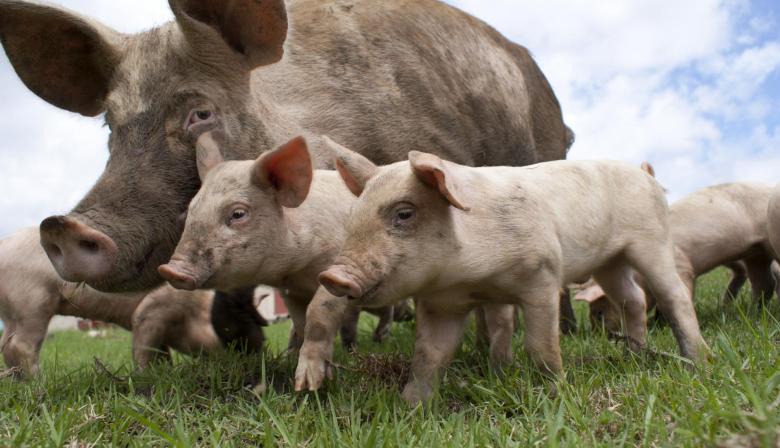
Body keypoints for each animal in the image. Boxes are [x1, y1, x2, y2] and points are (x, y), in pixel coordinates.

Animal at [0, 228, 266, 378]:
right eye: (235, 326)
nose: (262, 350)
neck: (196, 310)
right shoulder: (151, 310)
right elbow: (144, 349)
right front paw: (146, 378)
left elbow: (161, 353)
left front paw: (165, 371)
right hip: (32, 301)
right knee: (21, 346)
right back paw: (38, 383)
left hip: (13, 313)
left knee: (6, 344)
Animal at [308, 144, 708, 406]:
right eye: (353, 216)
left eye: (404, 214)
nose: (332, 276)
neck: (470, 277)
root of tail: (645, 174)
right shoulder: (441, 303)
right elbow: (429, 355)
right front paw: (410, 407)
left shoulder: (543, 275)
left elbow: (540, 344)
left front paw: (554, 393)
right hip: (611, 262)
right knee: (632, 299)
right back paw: (635, 356)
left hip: (651, 239)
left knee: (672, 295)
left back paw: (697, 360)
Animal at [576, 181, 780, 332]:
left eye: (600, 312)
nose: (598, 333)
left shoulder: (682, 265)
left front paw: (662, 325)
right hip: (756, 253)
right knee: (764, 283)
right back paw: (754, 312)